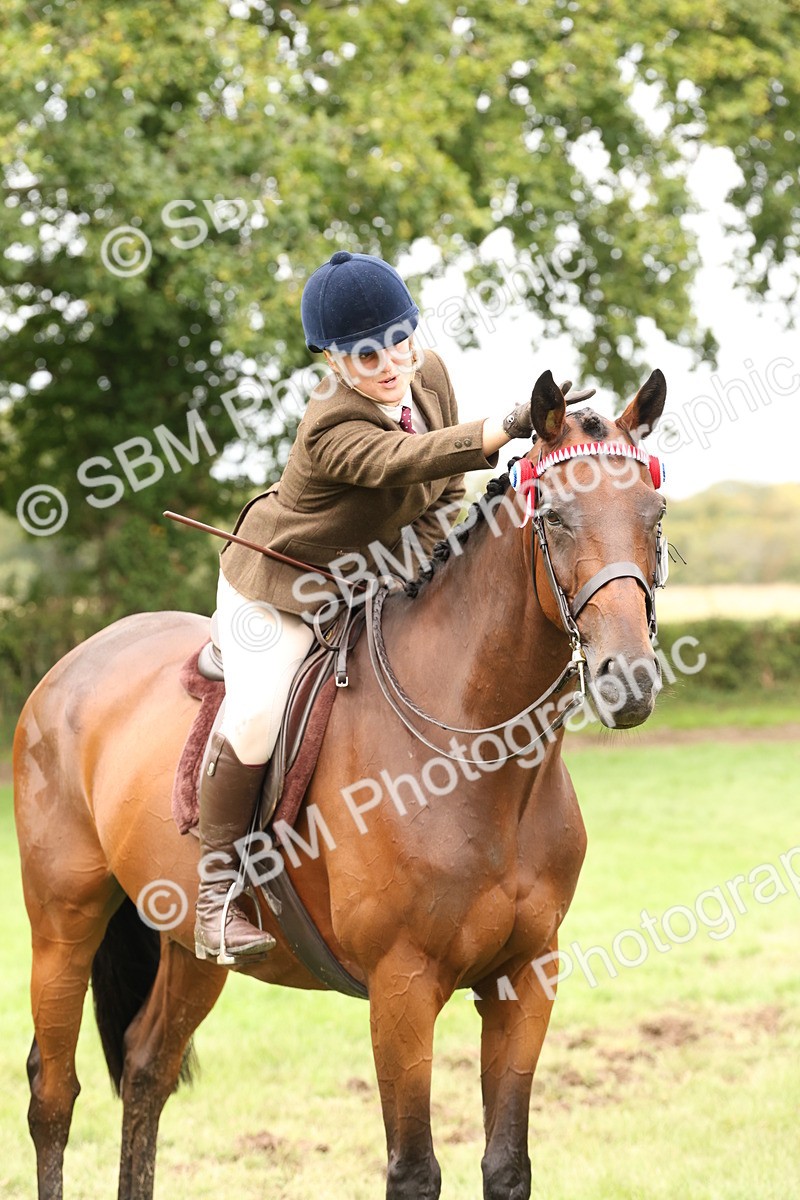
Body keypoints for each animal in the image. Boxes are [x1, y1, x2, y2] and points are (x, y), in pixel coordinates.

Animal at [14, 368, 667, 1200]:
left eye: (655, 515)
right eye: (553, 516)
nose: (628, 681)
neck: (484, 760)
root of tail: (76, 660)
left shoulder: (527, 978)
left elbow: (507, 1165)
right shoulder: (402, 987)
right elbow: (414, 1170)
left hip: (191, 947)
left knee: (146, 1067)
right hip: (62, 918)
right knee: (52, 1091)